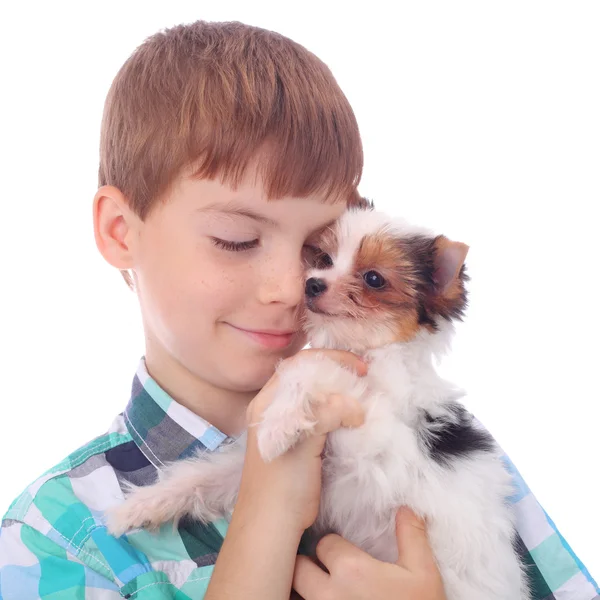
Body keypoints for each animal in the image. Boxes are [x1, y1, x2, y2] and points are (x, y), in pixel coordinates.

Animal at [108, 207, 528, 600]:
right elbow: (204, 474)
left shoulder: (374, 438)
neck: (367, 353)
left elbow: (311, 368)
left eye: (374, 278)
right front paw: (140, 506)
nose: (311, 283)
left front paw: (276, 427)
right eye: (324, 258)